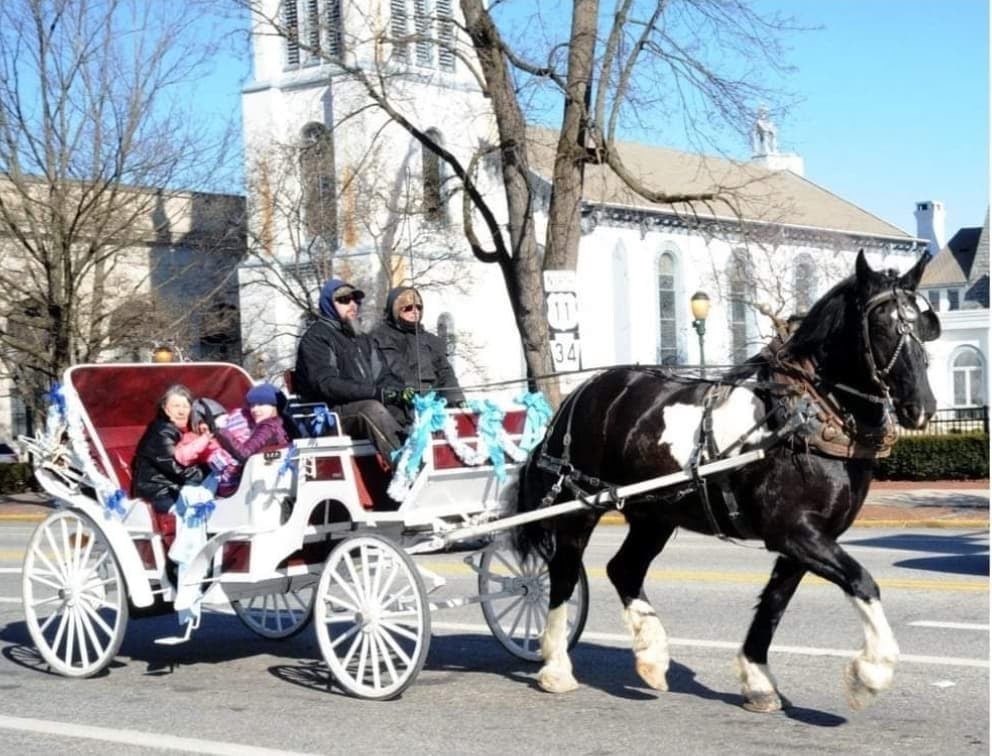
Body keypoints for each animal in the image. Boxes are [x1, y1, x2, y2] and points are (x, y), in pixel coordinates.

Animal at [516, 251, 940, 712]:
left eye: (922, 325)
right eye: (881, 325)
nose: (923, 406)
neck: (806, 413)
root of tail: (581, 393)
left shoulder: (806, 540)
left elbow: (774, 603)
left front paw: (758, 680)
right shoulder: (794, 532)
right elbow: (862, 582)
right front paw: (872, 672)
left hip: (655, 514)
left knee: (624, 569)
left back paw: (652, 655)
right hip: (581, 505)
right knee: (564, 571)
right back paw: (556, 665)